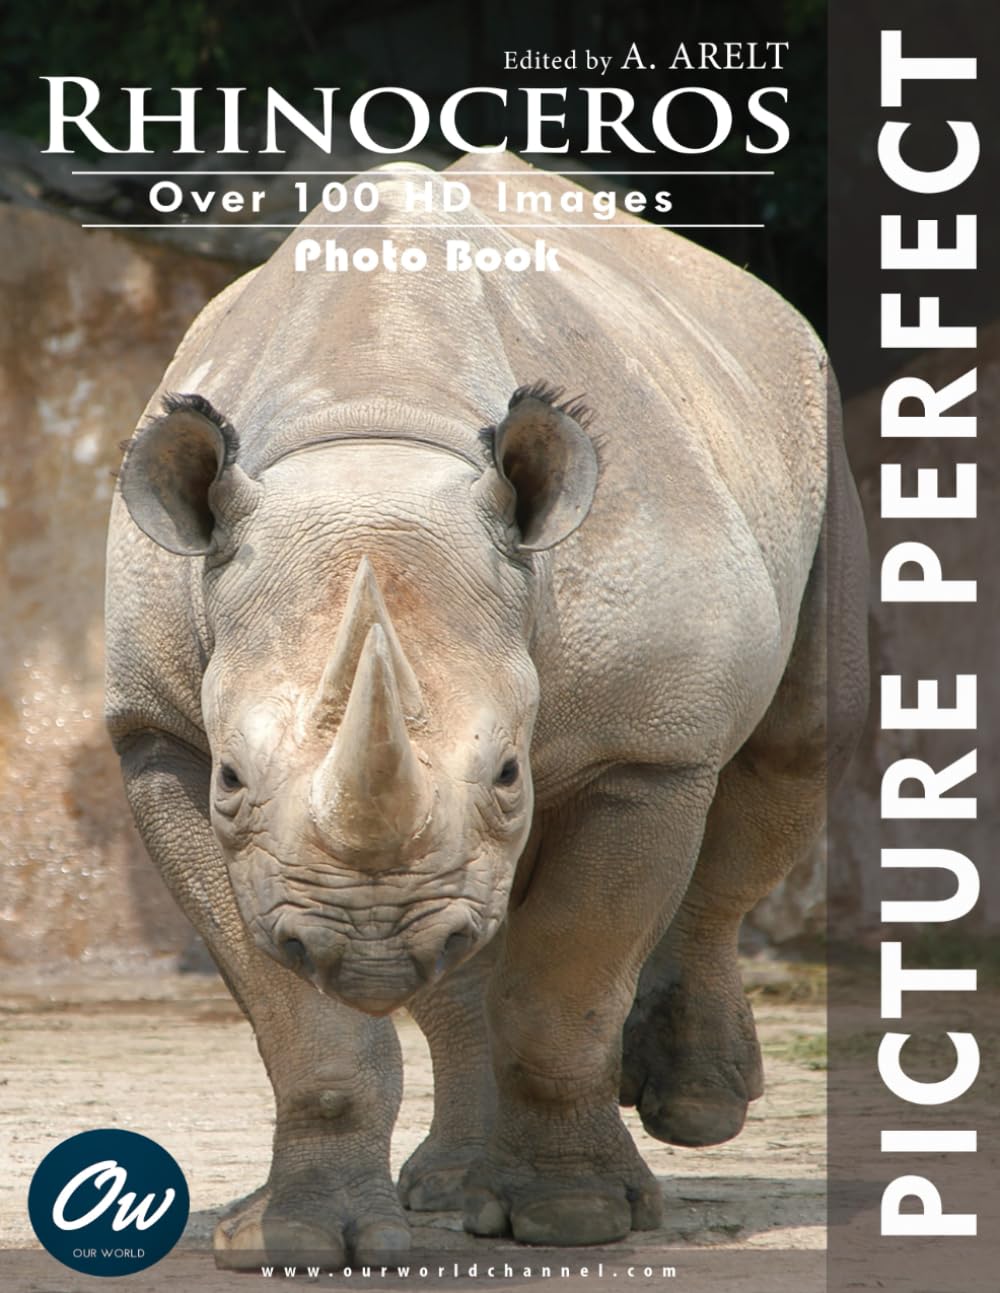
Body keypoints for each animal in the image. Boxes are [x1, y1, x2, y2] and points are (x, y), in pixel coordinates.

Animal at [105, 153, 867, 1266]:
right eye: (234, 777)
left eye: (509, 771)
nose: (366, 942)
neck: (372, 444)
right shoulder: (160, 733)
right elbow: (302, 1020)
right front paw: (299, 1237)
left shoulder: (640, 746)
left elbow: (565, 987)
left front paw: (574, 1220)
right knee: (464, 951)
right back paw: (453, 1191)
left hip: (807, 414)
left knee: (794, 751)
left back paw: (692, 1109)